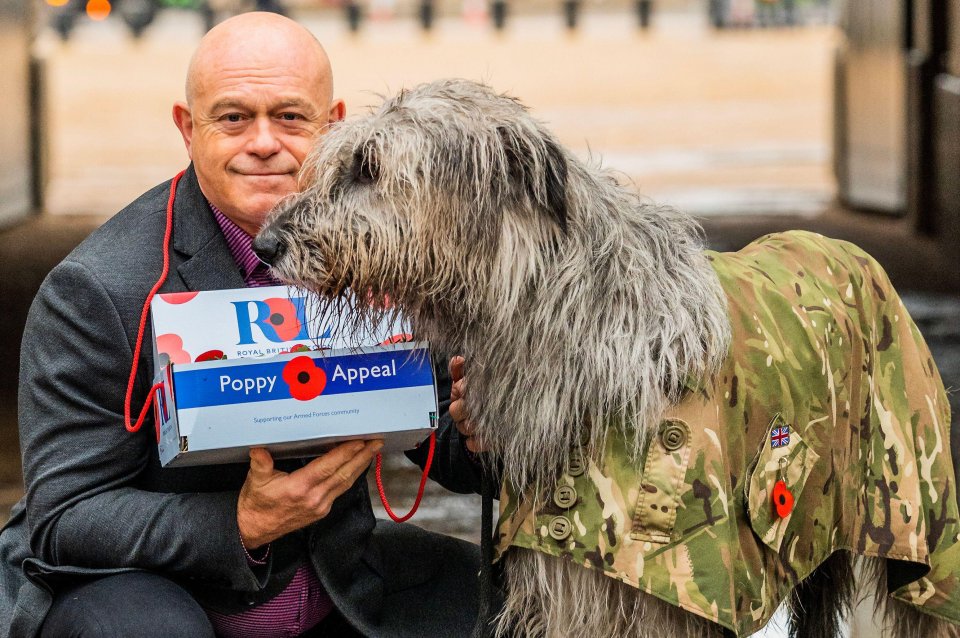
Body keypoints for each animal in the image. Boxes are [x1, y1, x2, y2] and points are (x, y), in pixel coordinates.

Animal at [251, 80, 956, 638]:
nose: (266, 242)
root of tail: (850, 249)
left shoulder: (671, 588)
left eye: (369, 166)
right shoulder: (567, 568)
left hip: (921, 524)